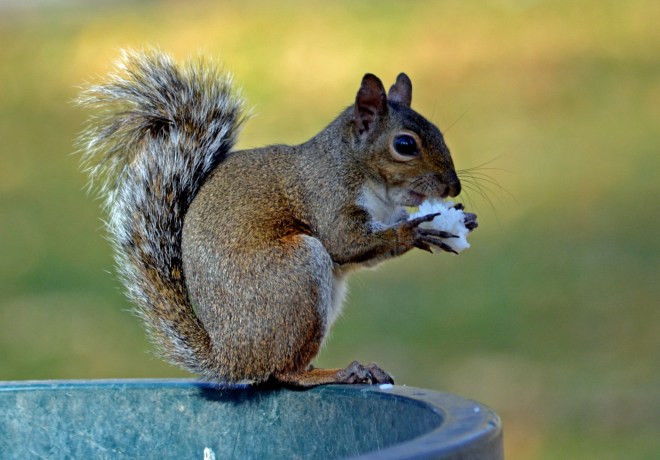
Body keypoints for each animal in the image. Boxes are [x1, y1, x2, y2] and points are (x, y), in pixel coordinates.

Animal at [78, 49, 477, 387]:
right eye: (405, 145)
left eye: (438, 131)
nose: (454, 186)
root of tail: (230, 359)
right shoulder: (326, 196)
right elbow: (345, 242)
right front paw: (414, 232)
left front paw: (462, 219)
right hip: (298, 273)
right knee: (284, 373)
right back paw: (341, 372)